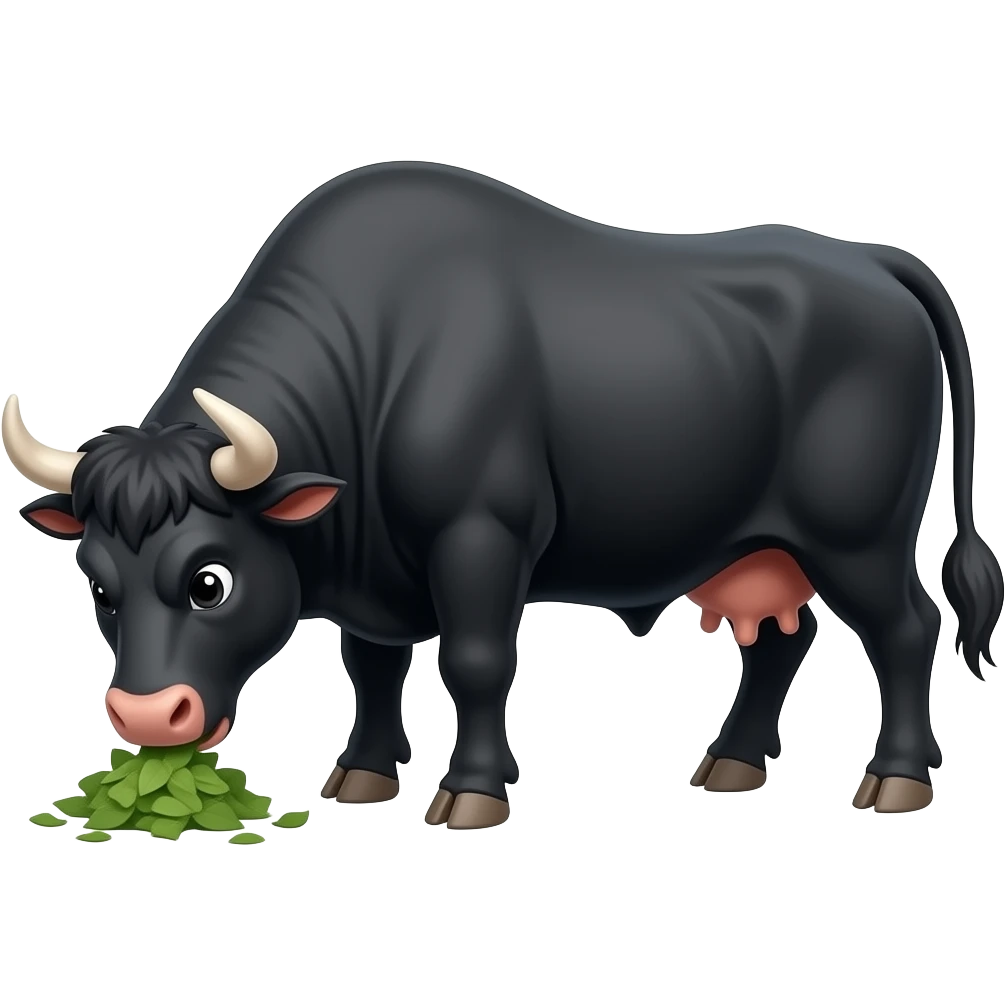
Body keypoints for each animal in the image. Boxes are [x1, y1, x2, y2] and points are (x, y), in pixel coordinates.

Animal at [3, 161, 1001, 829]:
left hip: (859, 539)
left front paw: (471, 791)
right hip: (763, 547)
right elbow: (371, 667)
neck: (373, 361)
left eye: (210, 579)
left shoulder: (478, 540)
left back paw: (895, 780)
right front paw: (360, 777)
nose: (144, 715)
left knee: (905, 630)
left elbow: (475, 662)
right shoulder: (377, 581)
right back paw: (728, 763)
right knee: (780, 642)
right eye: (98, 582)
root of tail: (872, 263)